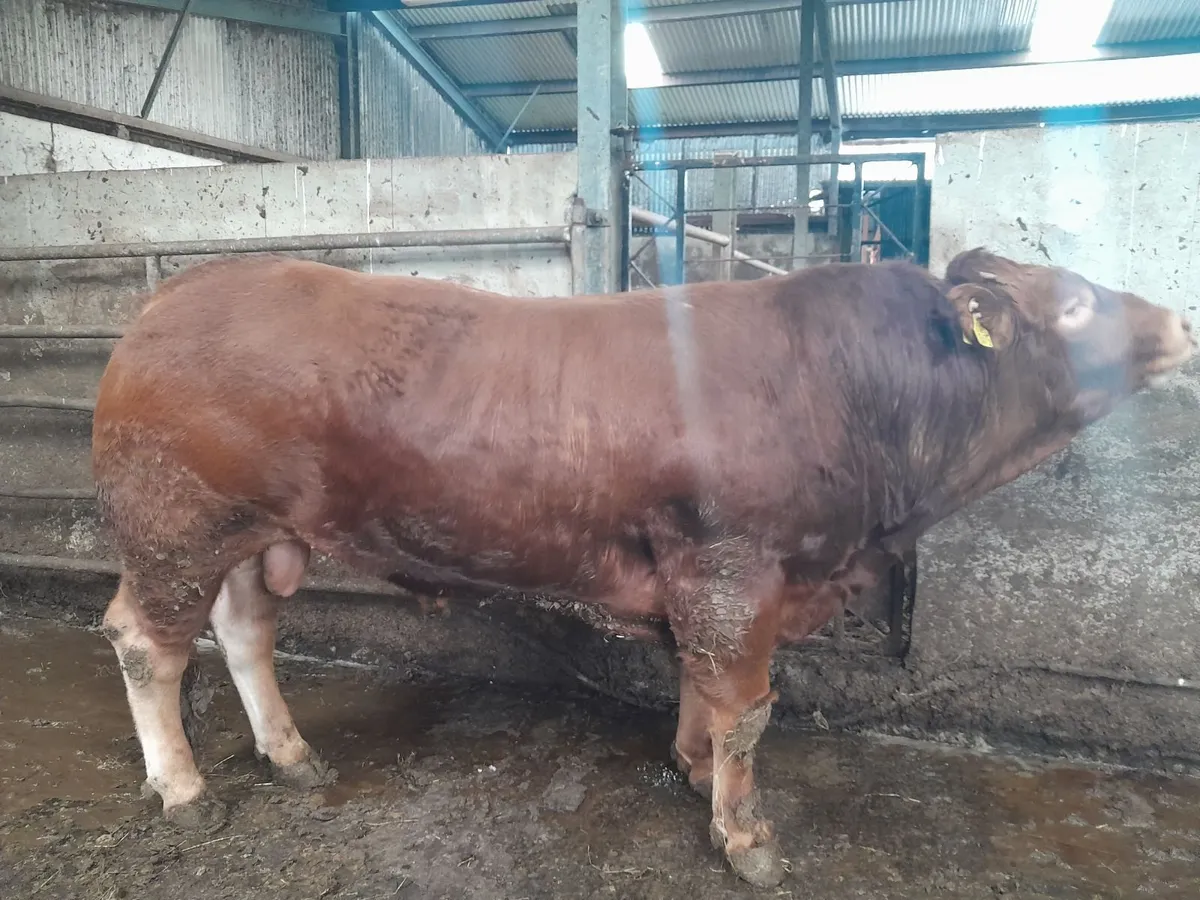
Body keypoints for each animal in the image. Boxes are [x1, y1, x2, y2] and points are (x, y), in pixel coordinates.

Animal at [90, 248, 1194, 887]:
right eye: (1078, 306)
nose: (1180, 322)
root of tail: (185, 288)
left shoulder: (707, 579)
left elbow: (702, 685)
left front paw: (695, 764)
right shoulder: (734, 566)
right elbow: (747, 703)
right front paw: (745, 835)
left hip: (245, 534)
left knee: (243, 633)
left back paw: (289, 753)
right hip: (173, 525)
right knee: (146, 643)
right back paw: (184, 789)